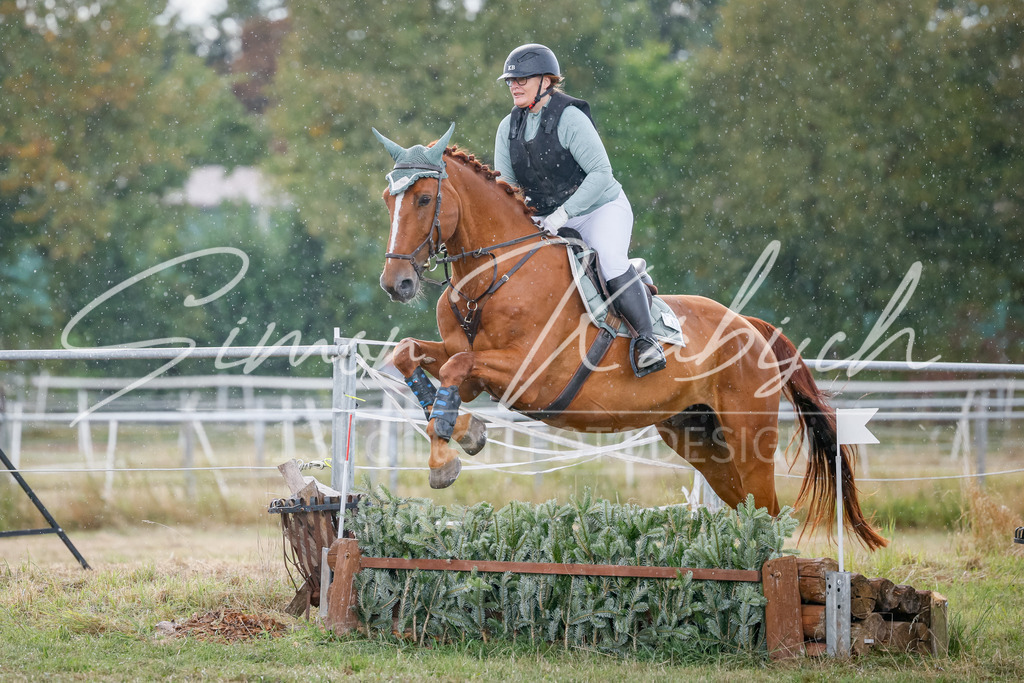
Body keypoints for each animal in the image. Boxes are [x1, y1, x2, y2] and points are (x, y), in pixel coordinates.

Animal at [372, 124, 887, 551]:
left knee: (768, 513)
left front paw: (446, 457)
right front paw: (462, 434)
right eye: (387, 199)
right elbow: (411, 357)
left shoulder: (530, 372)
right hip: (698, 440)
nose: (396, 284)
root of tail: (750, 326)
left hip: (749, 440)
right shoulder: (471, 363)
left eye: (423, 199)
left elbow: (455, 368)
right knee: (746, 508)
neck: (493, 276)